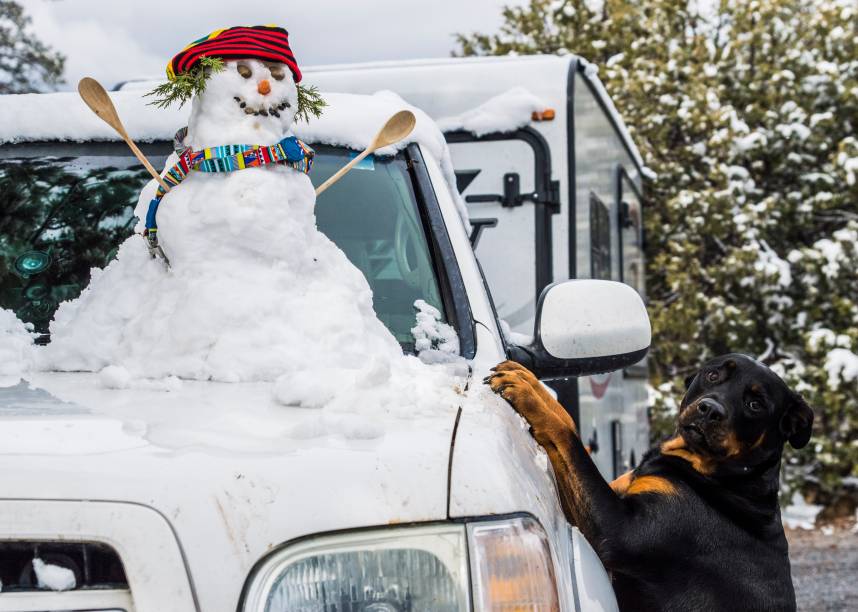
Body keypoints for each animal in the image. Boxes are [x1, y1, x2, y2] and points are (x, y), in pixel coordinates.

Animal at [488, 354, 808, 612]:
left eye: (755, 404)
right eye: (713, 375)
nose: (709, 409)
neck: (722, 477)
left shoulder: (618, 530)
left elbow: (570, 436)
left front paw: (530, 395)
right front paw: (532, 384)